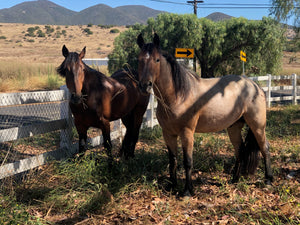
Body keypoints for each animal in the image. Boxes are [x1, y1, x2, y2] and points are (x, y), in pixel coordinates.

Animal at [137, 32, 274, 196]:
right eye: (139, 59)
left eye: (157, 60)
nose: (145, 86)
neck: (178, 96)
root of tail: (254, 85)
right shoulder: (168, 133)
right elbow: (172, 160)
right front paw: (172, 186)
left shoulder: (187, 133)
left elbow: (187, 161)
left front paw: (187, 191)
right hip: (234, 127)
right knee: (240, 150)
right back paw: (234, 179)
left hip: (258, 125)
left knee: (264, 148)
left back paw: (268, 179)